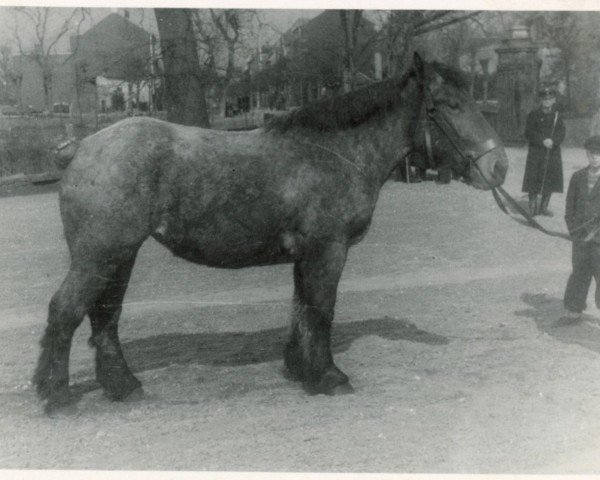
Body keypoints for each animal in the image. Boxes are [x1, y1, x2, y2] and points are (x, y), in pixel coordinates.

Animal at [34, 52, 506, 412]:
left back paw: (122, 386)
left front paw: (300, 369)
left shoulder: (306, 256)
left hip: (119, 255)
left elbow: (301, 309)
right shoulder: (328, 251)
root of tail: (82, 147)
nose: (498, 166)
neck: (336, 152)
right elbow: (321, 310)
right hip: (101, 255)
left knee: (104, 317)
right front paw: (329, 376)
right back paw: (56, 395)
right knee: (66, 310)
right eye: (448, 105)